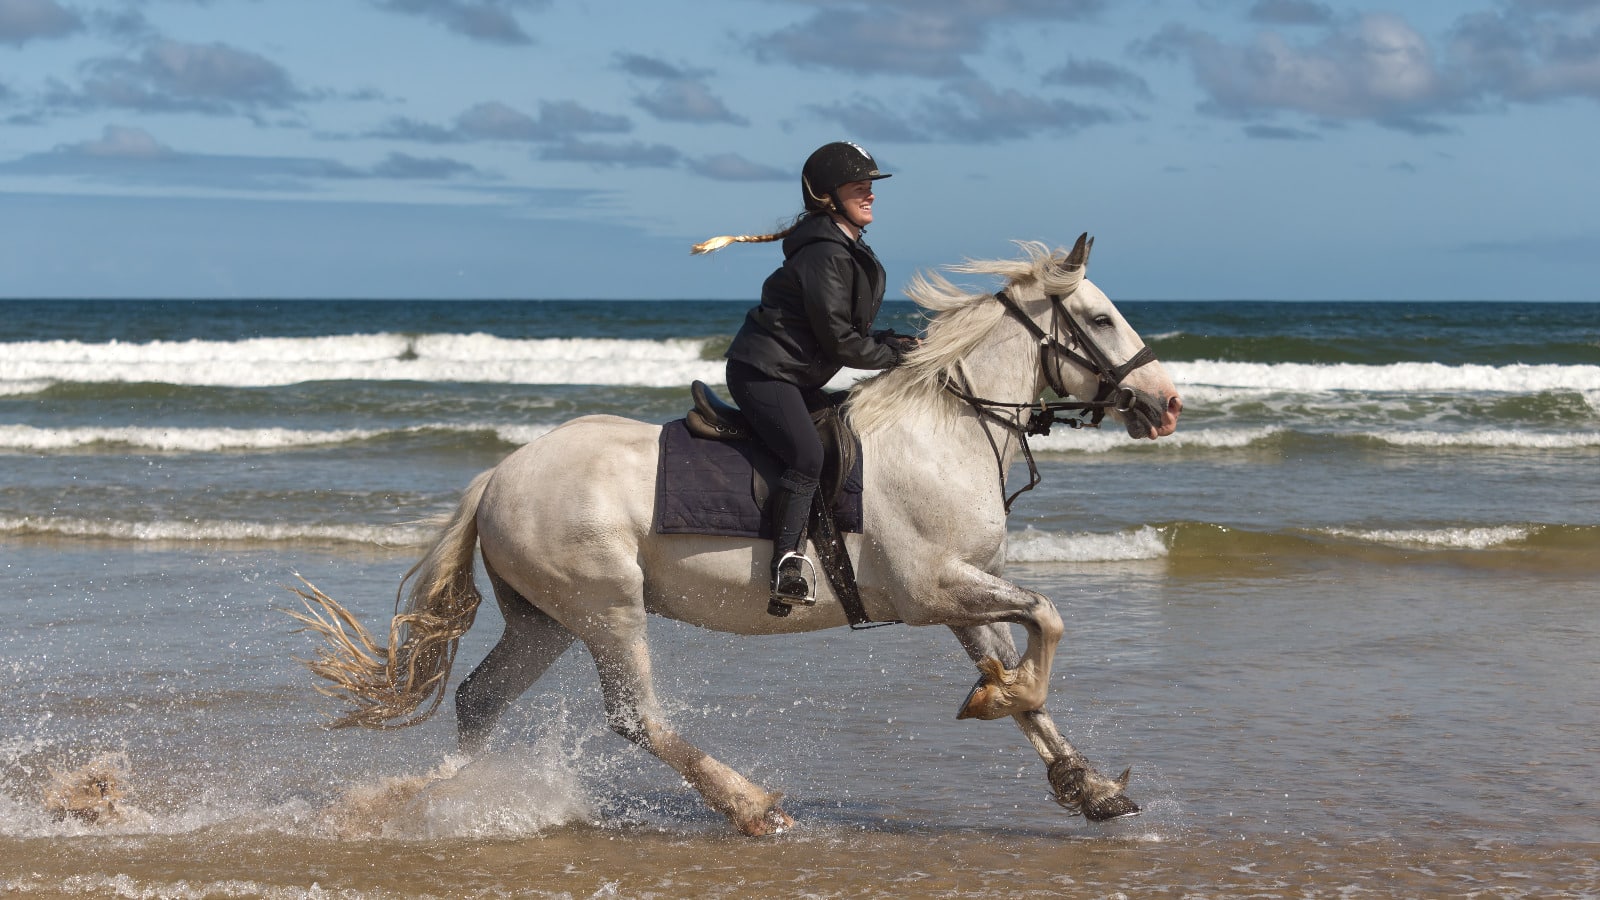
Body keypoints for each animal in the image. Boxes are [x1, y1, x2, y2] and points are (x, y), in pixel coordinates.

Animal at [290, 234, 1183, 836]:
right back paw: (750, 804)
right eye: (1100, 317)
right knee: (634, 718)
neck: (948, 430)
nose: (1167, 404)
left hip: (547, 621)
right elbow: (1049, 621)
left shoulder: (962, 595)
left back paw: (434, 797)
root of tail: (498, 478)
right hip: (608, 610)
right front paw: (1008, 701)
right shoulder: (932, 590)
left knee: (481, 698)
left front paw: (1086, 784)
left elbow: (1024, 657)